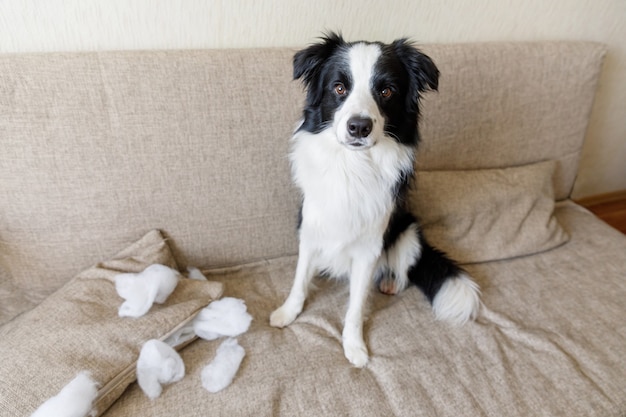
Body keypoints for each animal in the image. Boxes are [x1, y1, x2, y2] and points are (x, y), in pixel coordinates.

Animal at [268, 32, 478, 366]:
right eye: (339, 88)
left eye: (386, 90)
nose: (359, 127)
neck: (353, 165)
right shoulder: (311, 229)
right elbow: (300, 280)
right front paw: (287, 313)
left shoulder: (369, 248)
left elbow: (355, 306)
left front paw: (354, 346)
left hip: (409, 232)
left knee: (404, 271)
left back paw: (390, 283)